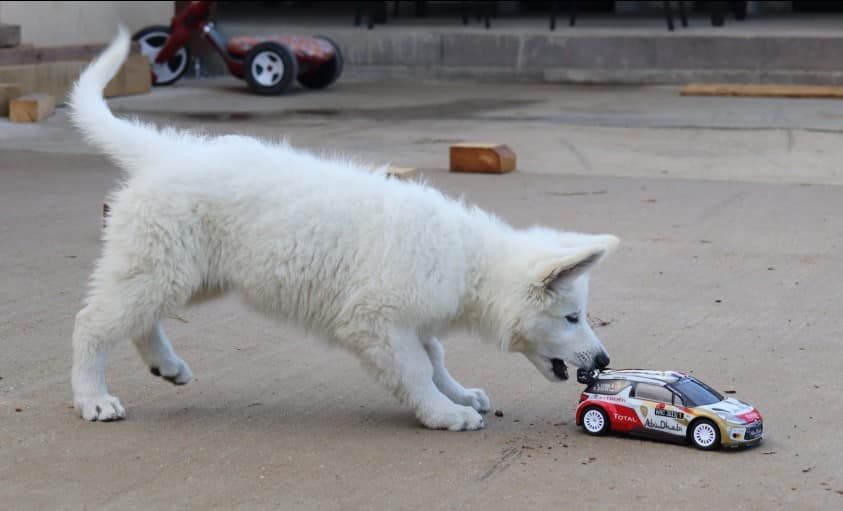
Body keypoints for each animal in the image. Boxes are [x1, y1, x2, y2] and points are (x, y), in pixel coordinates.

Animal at [69, 26, 616, 430]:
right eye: (571, 317)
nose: (605, 360)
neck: (468, 261)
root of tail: (166, 151)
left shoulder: (410, 319)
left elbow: (435, 358)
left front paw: (458, 393)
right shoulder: (376, 320)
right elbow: (417, 369)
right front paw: (445, 413)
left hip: (190, 273)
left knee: (139, 318)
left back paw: (166, 366)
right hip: (165, 265)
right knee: (93, 322)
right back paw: (93, 397)